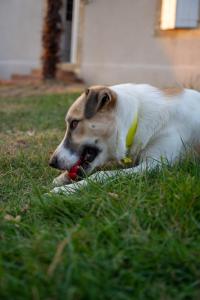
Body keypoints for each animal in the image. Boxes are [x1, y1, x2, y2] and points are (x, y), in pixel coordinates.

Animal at [48, 83, 200, 193]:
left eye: (74, 123)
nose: (52, 163)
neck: (137, 118)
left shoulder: (154, 165)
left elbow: (101, 174)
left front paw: (64, 190)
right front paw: (63, 178)